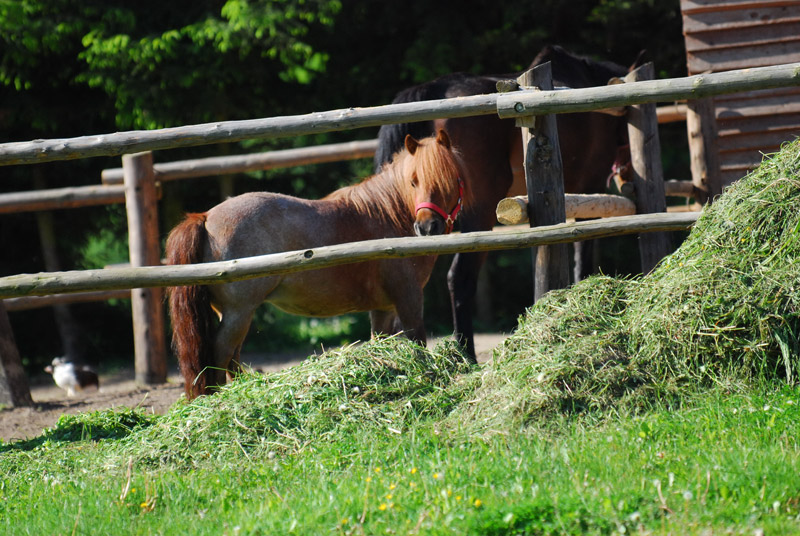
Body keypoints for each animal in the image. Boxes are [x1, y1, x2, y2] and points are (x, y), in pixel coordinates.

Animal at [166, 130, 467, 399]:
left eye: (451, 177)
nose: (427, 227)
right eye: (414, 181)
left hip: (234, 315)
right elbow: (418, 342)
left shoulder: (384, 308)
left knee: (232, 360)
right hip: (238, 313)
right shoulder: (408, 300)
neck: (388, 216)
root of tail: (205, 217)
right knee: (220, 357)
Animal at [374, 45, 643, 361]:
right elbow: (582, 257)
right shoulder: (589, 189)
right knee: (460, 278)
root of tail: (432, 89)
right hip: (477, 214)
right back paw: (466, 354)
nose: (628, 178)